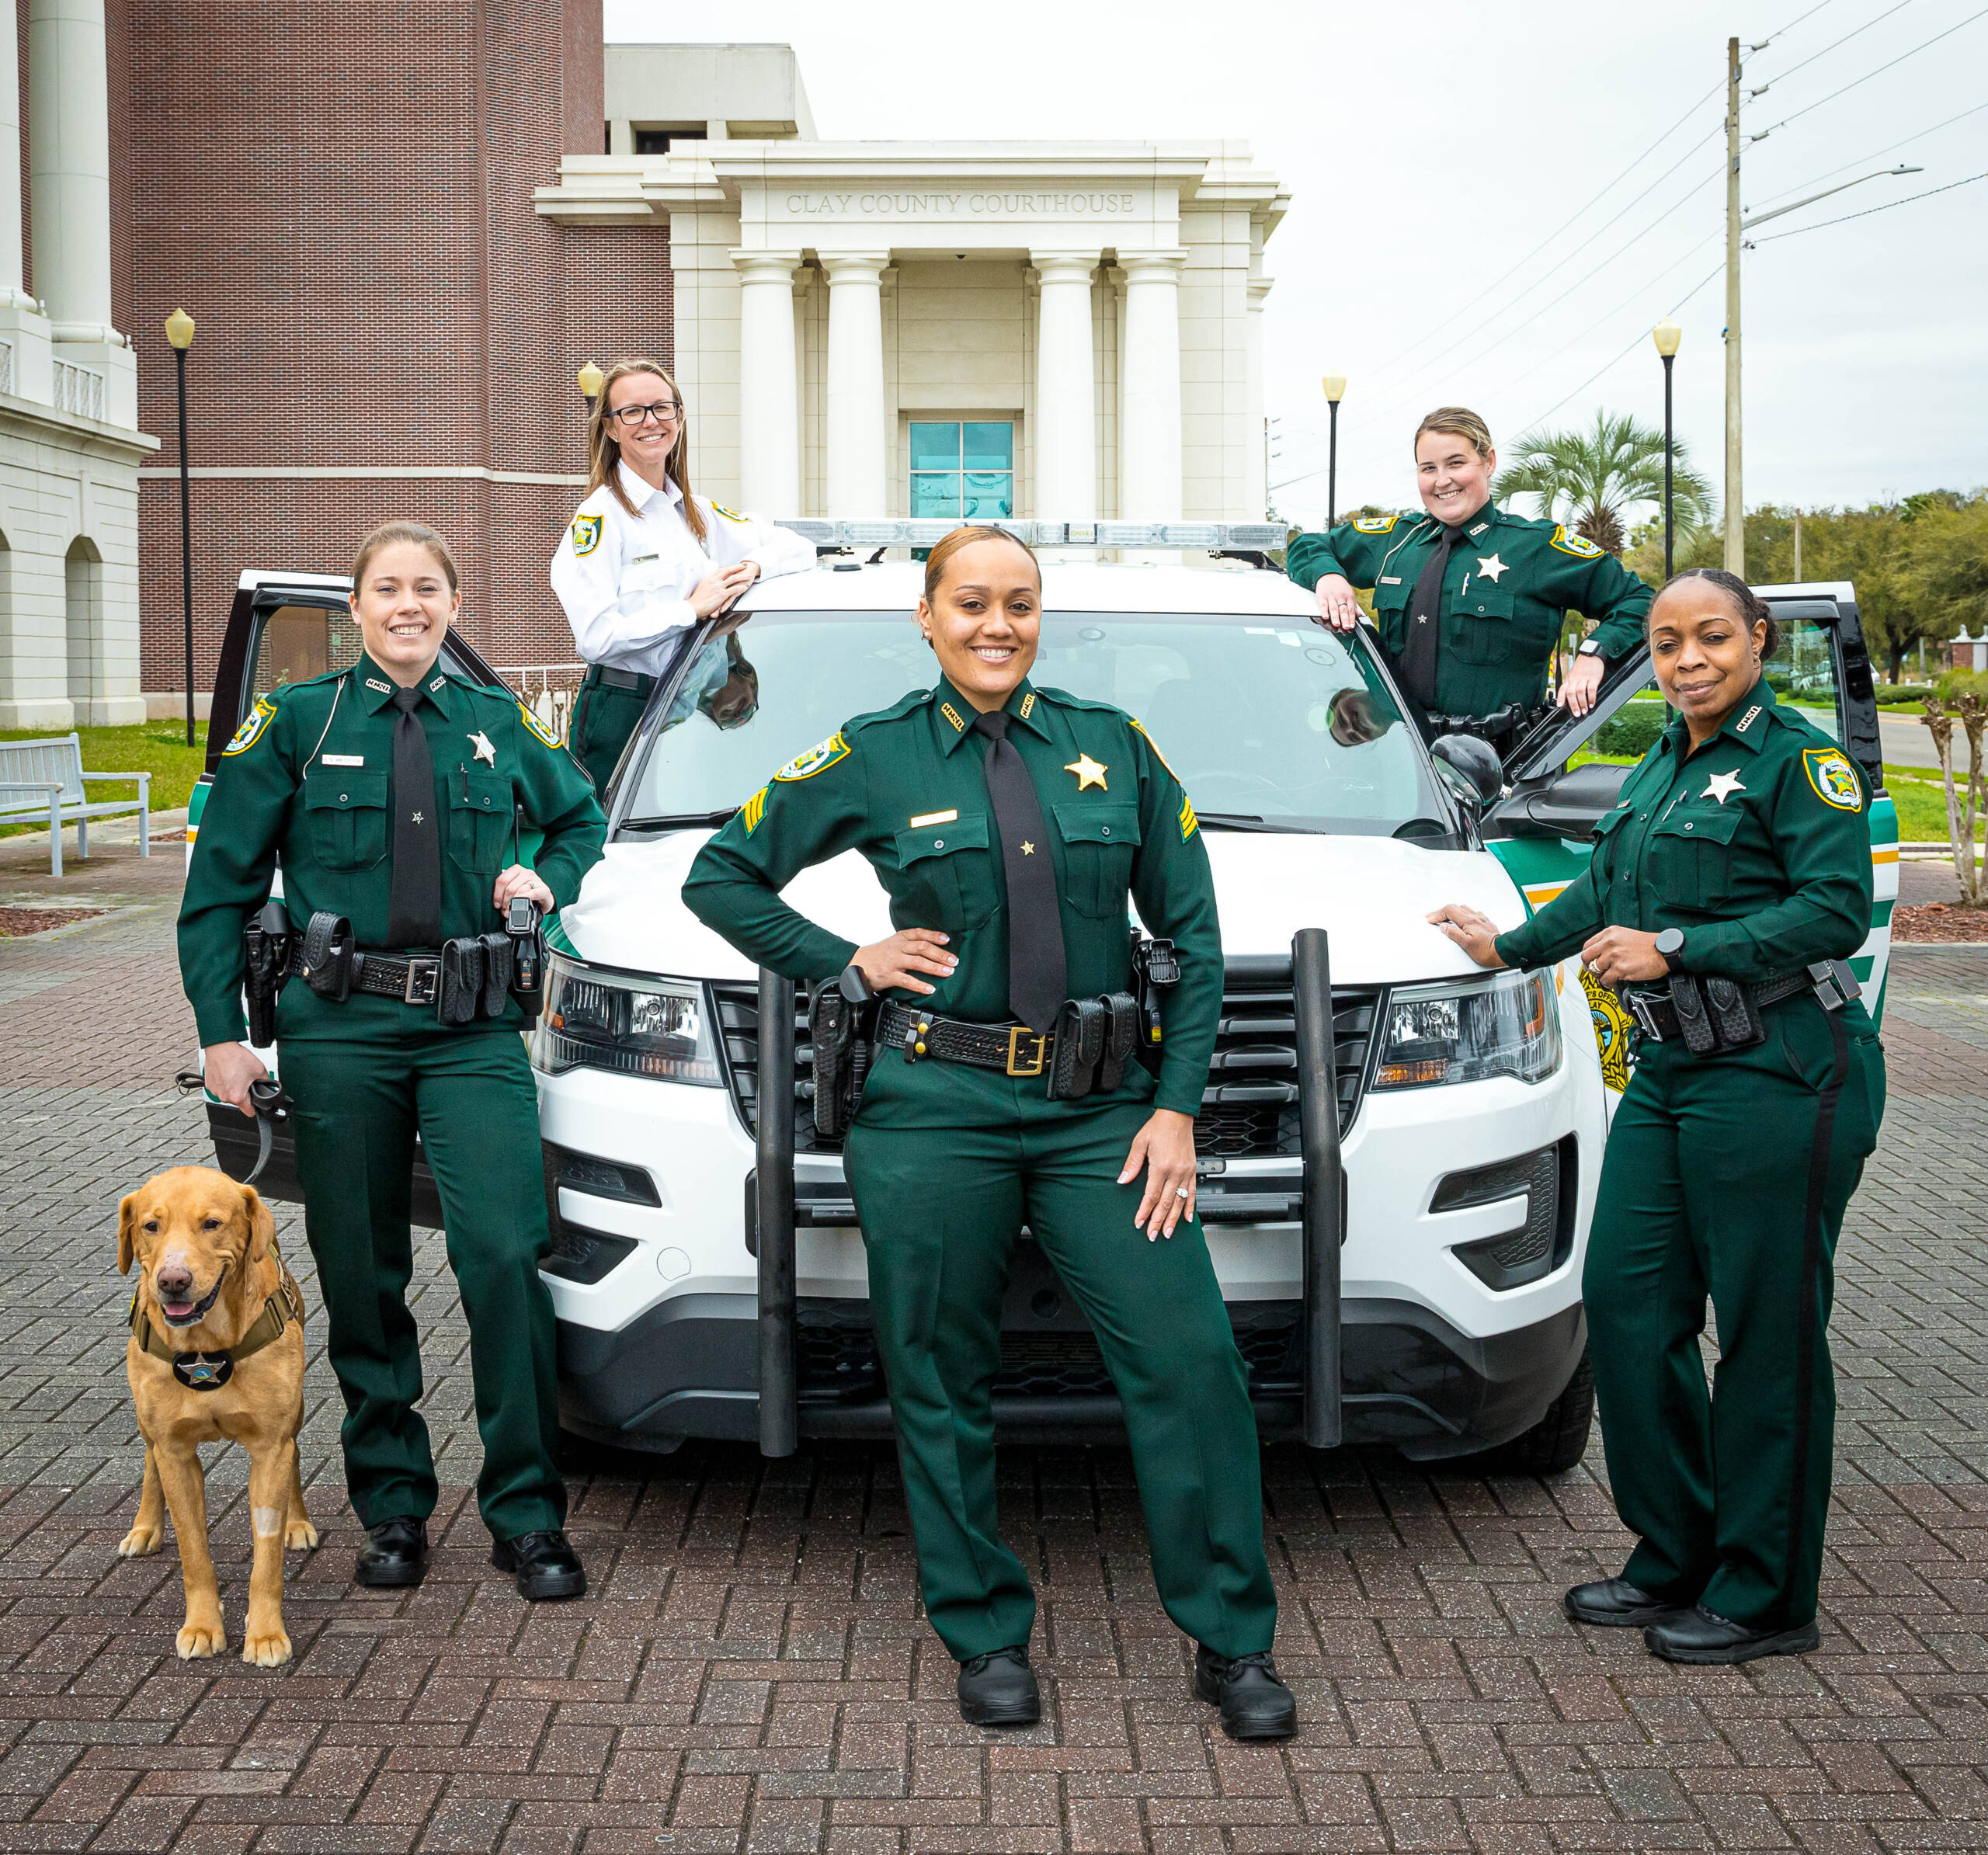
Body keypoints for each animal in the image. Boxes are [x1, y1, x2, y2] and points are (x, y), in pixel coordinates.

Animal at [116, 1169, 314, 1654]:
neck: (204, 1351)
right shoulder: (175, 1452)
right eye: (151, 1226)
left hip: (296, 1413)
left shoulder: (270, 1448)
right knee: (149, 1461)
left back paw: (298, 1523)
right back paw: (145, 1527)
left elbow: (267, 1560)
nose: (173, 1280)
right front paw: (203, 1626)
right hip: (147, 1422)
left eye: (212, 1224)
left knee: (297, 1457)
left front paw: (266, 1634)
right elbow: (193, 1552)